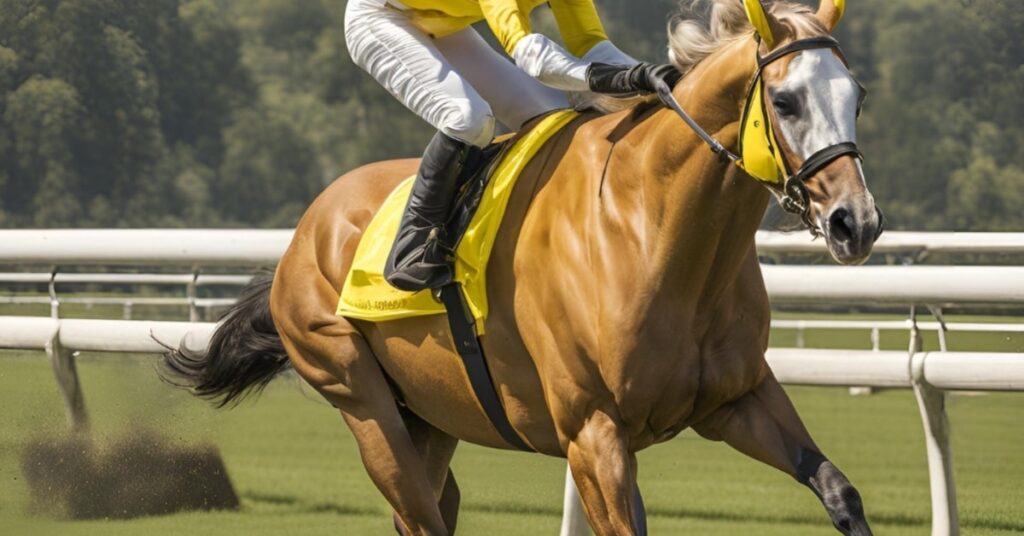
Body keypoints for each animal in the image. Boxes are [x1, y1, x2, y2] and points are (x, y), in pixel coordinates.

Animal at [165, 2, 880, 532]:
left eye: (858, 97)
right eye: (785, 102)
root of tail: (304, 234)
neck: (654, 230)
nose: (857, 222)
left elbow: (840, 491)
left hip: (430, 417)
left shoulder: (738, 399)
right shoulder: (593, 432)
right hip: (359, 399)